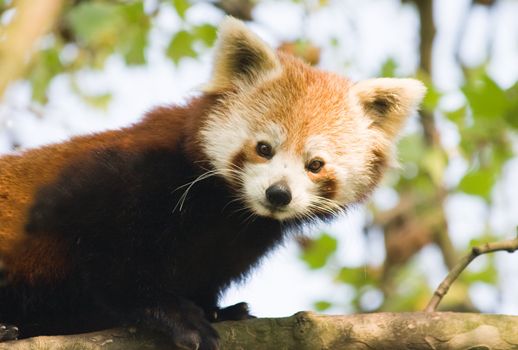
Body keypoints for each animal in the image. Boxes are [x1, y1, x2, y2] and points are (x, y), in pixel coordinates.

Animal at [0, 17, 426, 350]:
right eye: (264, 148)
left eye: (315, 165)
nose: (278, 194)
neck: (223, 213)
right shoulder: (123, 178)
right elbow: (110, 258)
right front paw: (174, 314)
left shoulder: (232, 247)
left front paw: (220, 311)